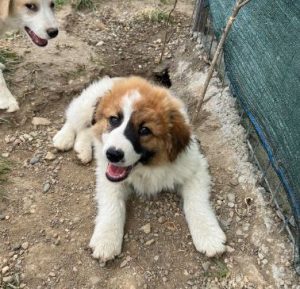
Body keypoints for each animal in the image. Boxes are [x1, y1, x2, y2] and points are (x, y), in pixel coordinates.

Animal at [54, 75, 226, 260]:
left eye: (144, 130)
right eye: (114, 119)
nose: (112, 154)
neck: (147, 168)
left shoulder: (195, 168)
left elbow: (197, 202)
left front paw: (209, 235)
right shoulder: (107, 177)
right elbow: (112, 205)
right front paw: (106, 239)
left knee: (89, 130)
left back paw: (82, 149)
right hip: (85, 106)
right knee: (75, 120)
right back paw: (63, 138)